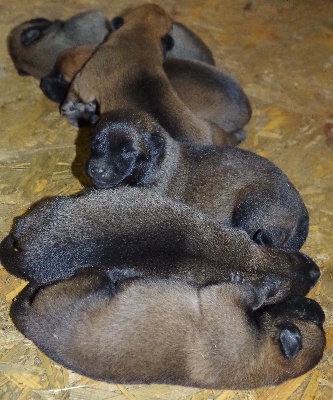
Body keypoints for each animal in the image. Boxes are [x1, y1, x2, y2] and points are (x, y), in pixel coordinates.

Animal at [10, 268, 324, 388]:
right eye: (310, 314)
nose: (318, 308)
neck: (261, 359)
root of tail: (32, 326)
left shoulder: (223, 301)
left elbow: (249, 293)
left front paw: (266, 283)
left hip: (83, 284)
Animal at [87, 109, 308, 252]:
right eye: (95, 144)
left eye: (128, 153)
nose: (96, 169)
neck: (161, 164)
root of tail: (300, 209)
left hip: (253, 207)